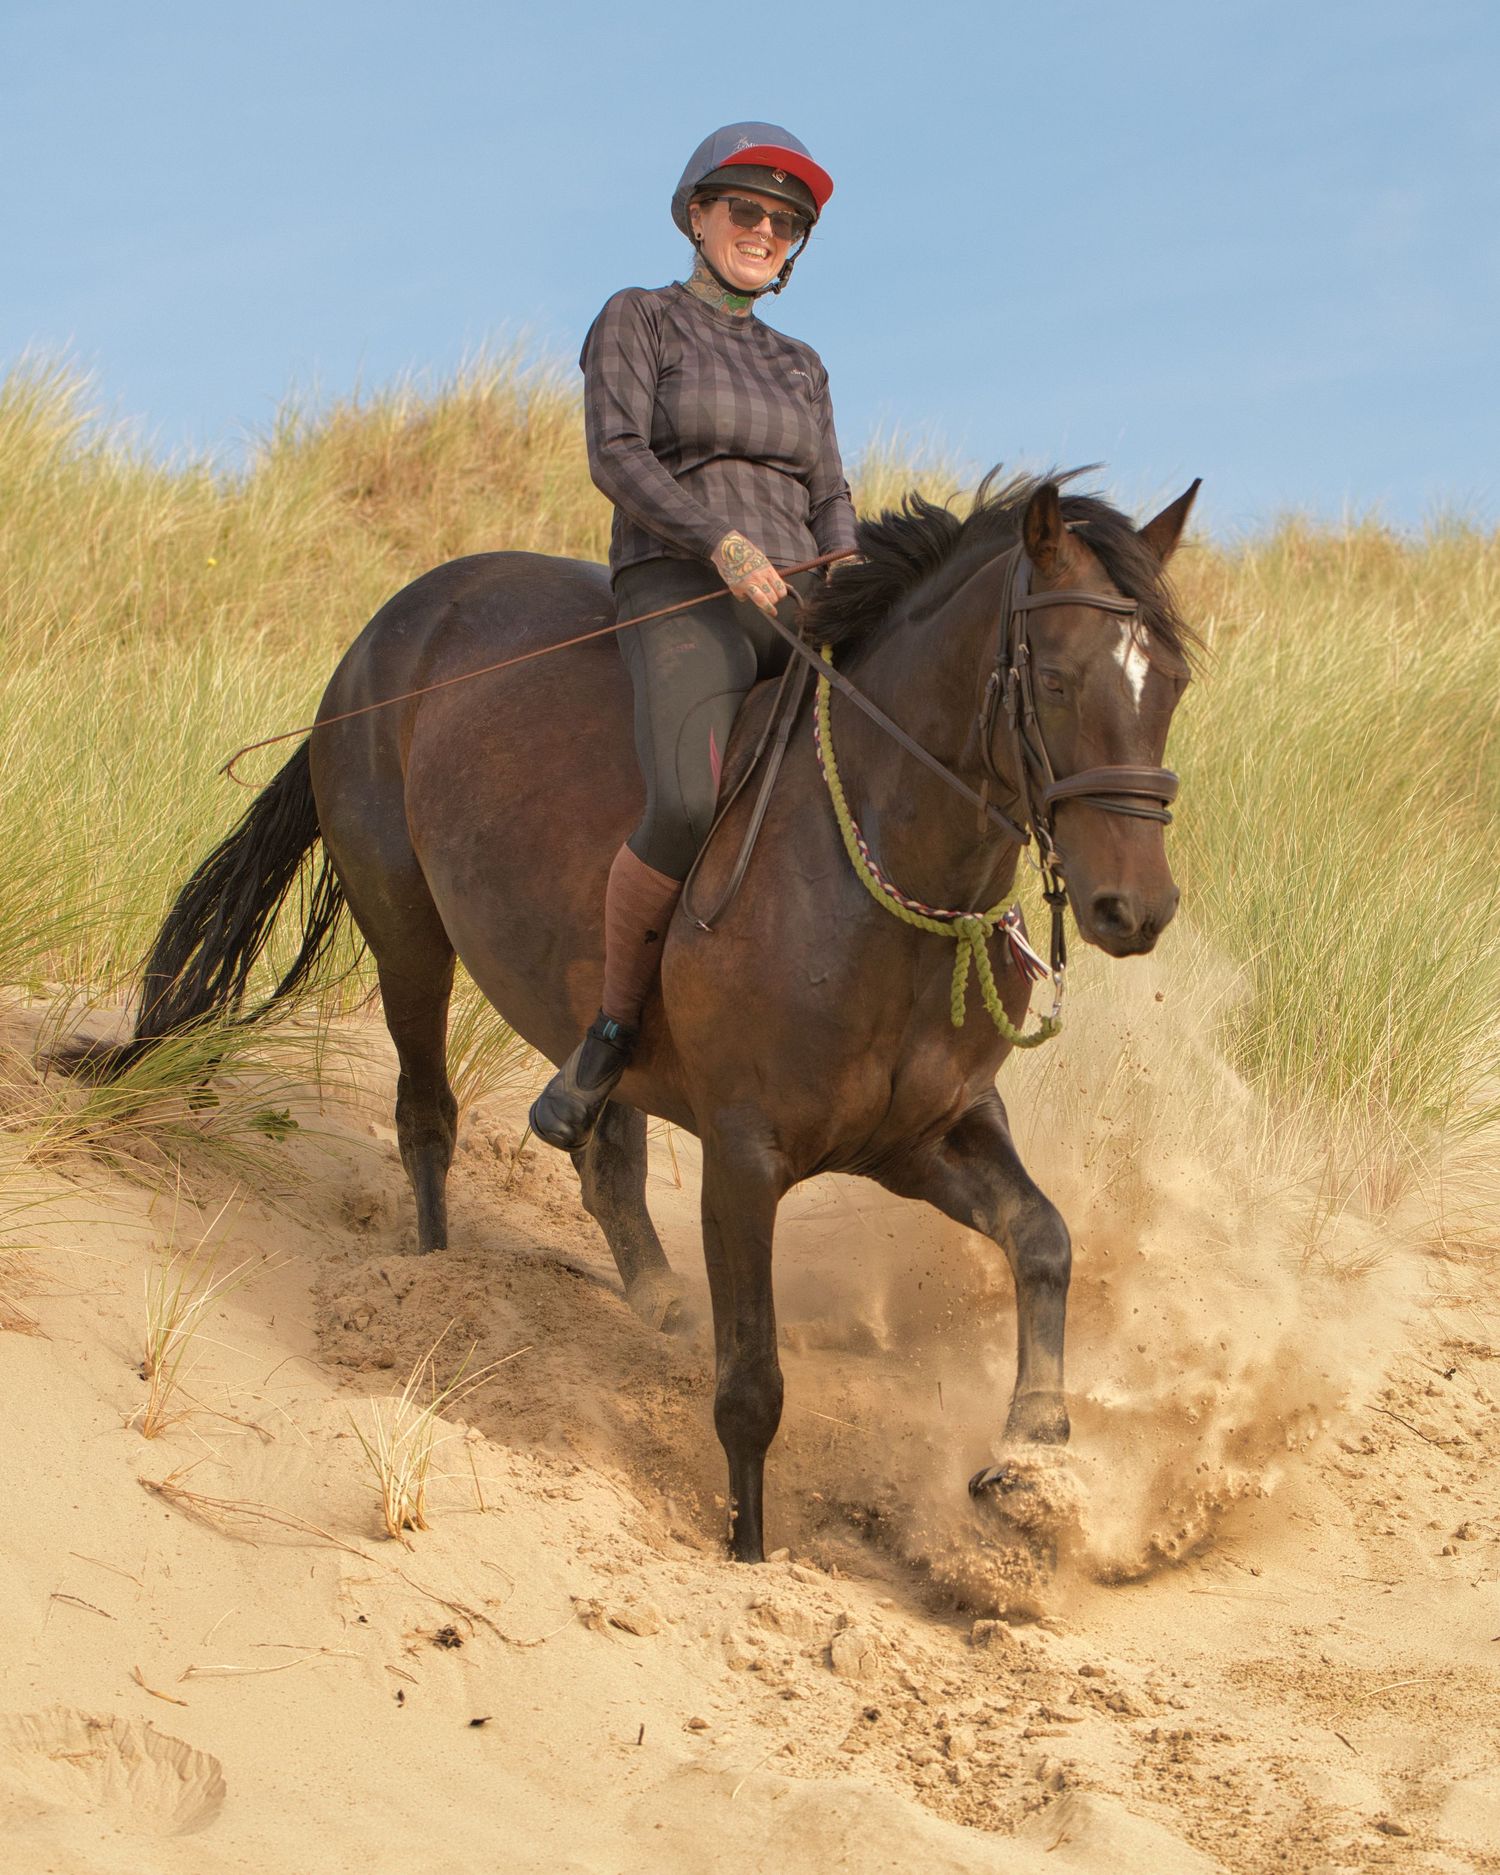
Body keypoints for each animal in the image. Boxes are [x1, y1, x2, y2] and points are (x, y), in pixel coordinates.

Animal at [86, 470, 1199, 1563]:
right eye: (1057, 681)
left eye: (1171, 688)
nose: (1135, 908)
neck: (877, 875)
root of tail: (385, 632)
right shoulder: (744, 1156)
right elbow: (751, 1388)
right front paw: (748, 1549)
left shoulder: (930, 1136)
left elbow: (1044, 1238)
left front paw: (1031, 1463)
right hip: (407, 935)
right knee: (427, 1118)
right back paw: (435, 1288)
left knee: (603, 1156)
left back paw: (650, 1299)